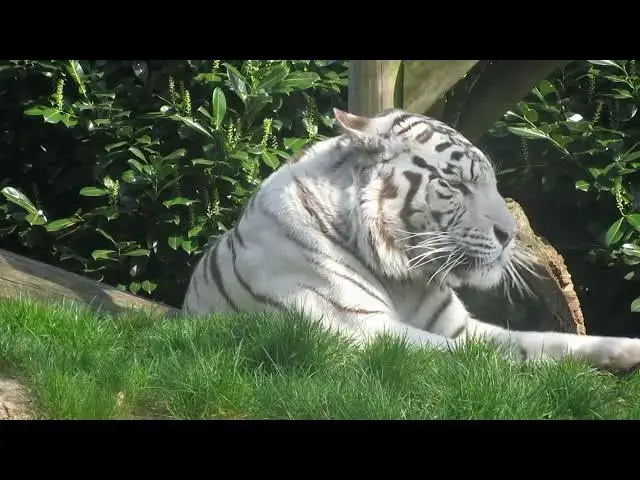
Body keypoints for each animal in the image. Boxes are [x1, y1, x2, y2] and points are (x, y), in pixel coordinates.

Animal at [182, 106, 640, 372]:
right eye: (456, 184)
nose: (510, 235)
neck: (404, 276)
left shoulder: (460, 327)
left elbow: (540, 339)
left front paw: (624, 350)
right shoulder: (359, 330)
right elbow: (492, 354)